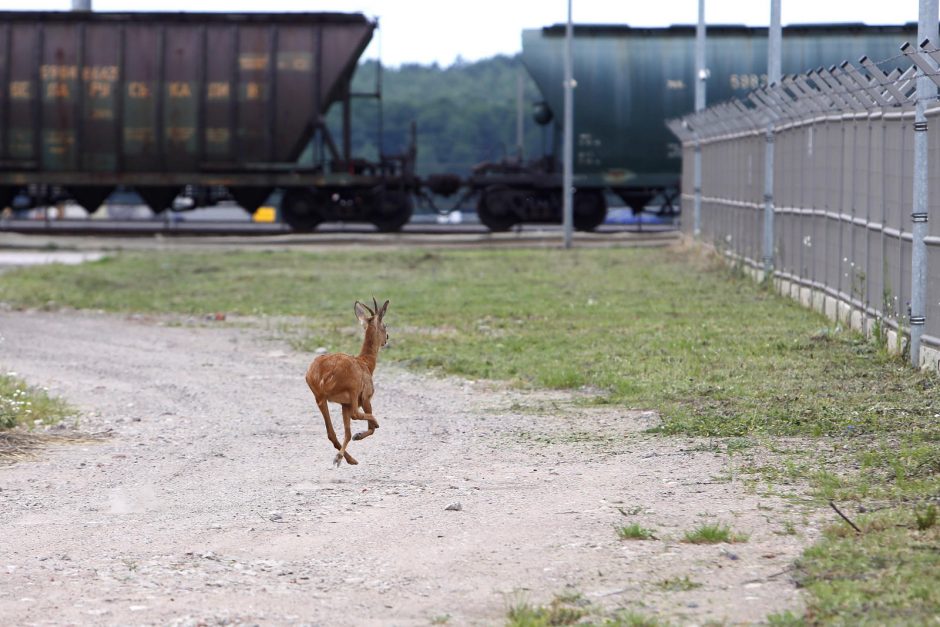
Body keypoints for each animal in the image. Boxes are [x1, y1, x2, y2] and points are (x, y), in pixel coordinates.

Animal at [302, 298, 388, 466]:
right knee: (356, 415)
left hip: (320, 398)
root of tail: (324, 375)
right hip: (352, 390)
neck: (366, 364)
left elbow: (347, 431)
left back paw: (346, 458)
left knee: (332, 432)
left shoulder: (344, 403)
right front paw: (360, 434)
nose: (387, 338)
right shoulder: (366, 396)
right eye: (384, 325)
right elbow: (369, 426)